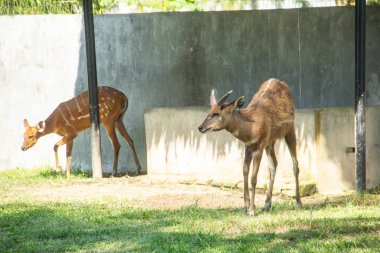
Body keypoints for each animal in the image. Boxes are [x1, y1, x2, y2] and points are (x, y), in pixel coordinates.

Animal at [199, 78, 302, 215]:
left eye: (216, 113)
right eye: (209, 112)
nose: (200, 127)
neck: (252, 126)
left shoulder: (259, 145)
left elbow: (254, 177)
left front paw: (252, 210)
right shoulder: (248, 146)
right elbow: (245, 172)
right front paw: (246, 207)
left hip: (289, 130)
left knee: (295, 165)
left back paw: (298, 204)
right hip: (270, 142)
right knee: (274, 164)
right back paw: (266, 205)